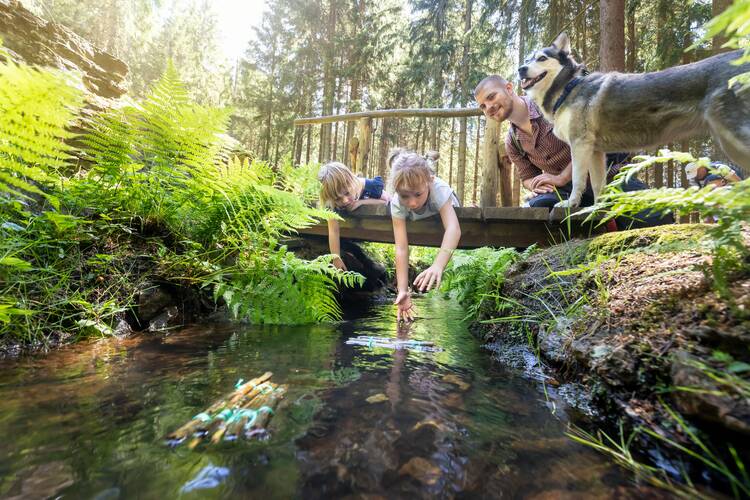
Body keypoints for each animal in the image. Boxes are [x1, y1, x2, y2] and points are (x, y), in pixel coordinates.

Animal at [520, 32, 748, 207]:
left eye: (541, 58)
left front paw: (571, 204)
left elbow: (578, 181)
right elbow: (598, 186)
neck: (568, 87)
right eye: (527, 59)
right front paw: (596, 210)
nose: (520, 68)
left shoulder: (580, 145)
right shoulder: (595, 152)